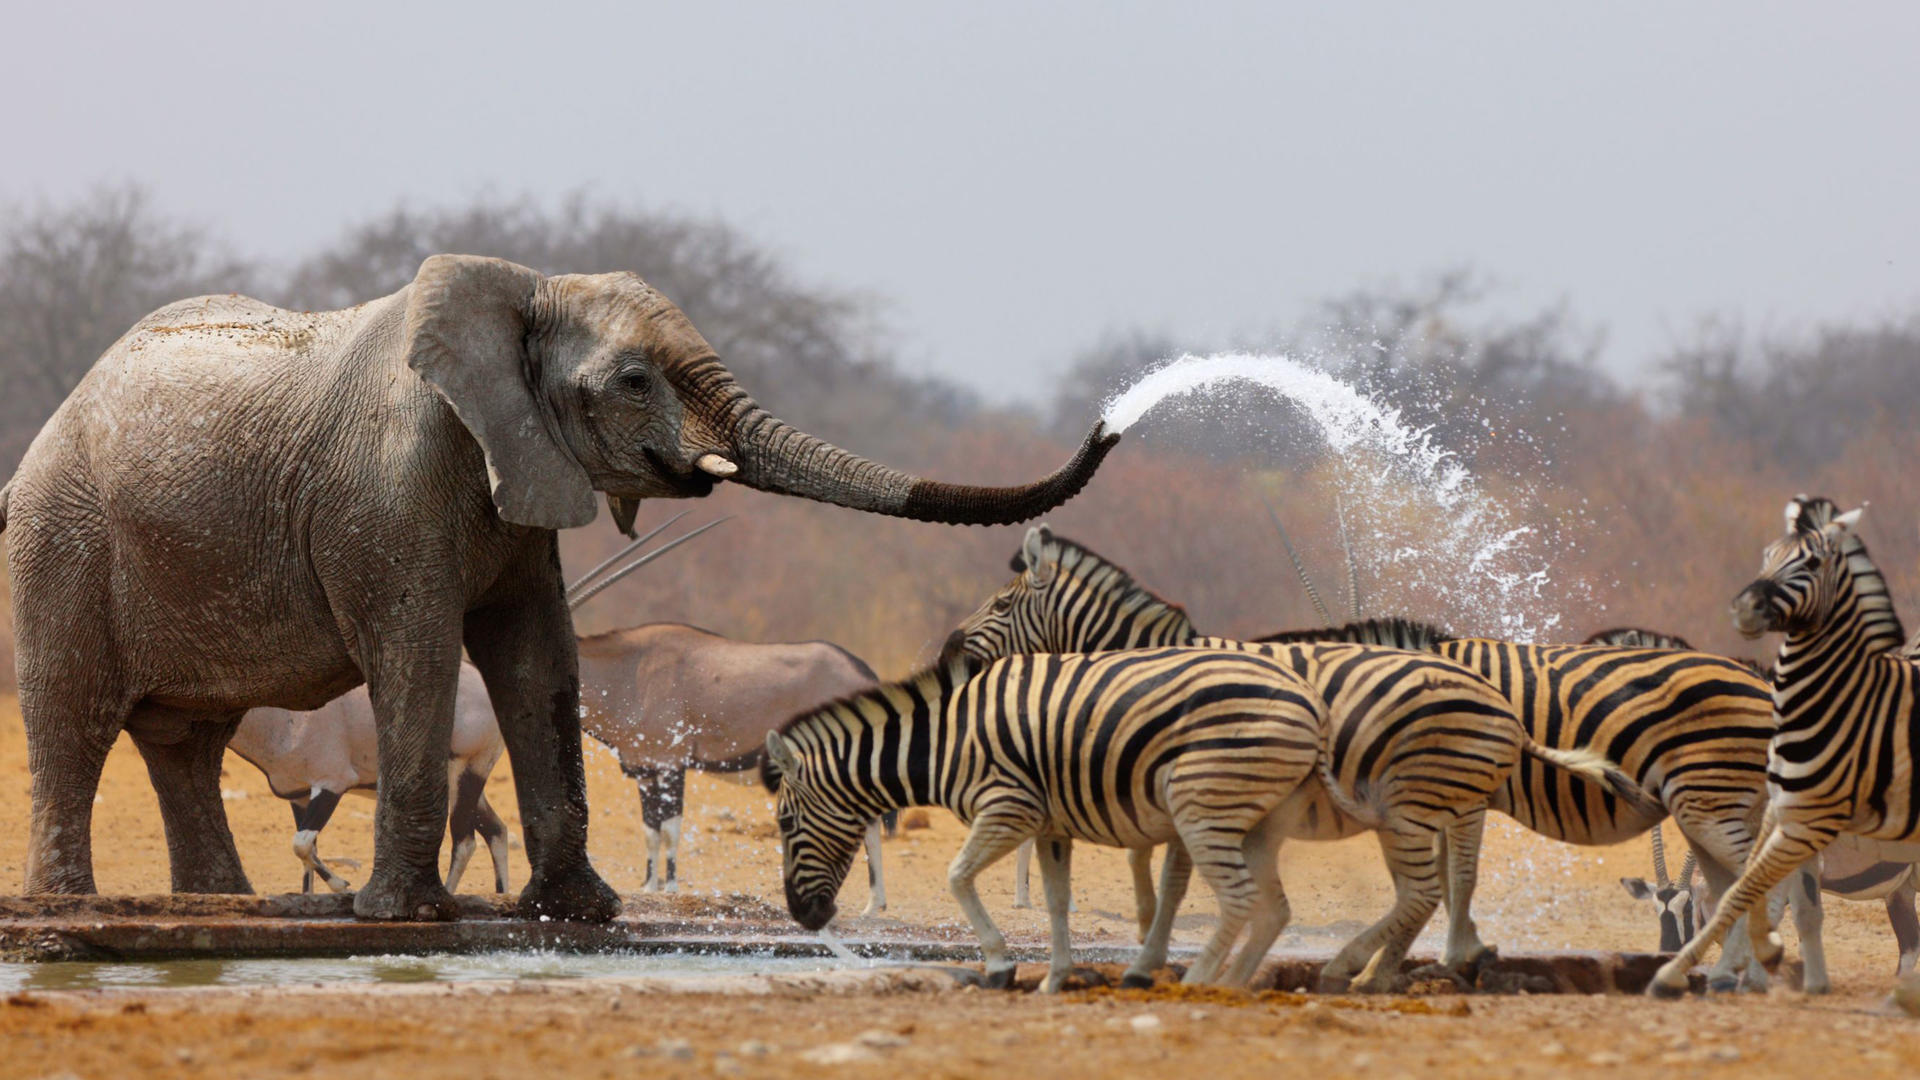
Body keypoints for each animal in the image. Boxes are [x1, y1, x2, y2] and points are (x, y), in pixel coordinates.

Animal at [0, 251, 1113, 914]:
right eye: (634, 381)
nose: (1109, 424)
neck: (521, 292)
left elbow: (538, 661)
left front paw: (582, 911)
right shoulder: (388, 492)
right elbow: (419, 655)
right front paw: (406, 918)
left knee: (186, 741)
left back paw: (222, 908)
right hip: (63, 540)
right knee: (76, 717)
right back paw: (69, 913)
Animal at [756, 638, 1328, 983]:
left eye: (785, 823)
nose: (804, 917)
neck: (944, 742)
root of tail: (1307, 697)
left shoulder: (1009, 807)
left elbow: (957, 876)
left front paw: (1000, 962)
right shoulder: (1052, 824)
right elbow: (1055, 902)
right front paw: (1055, 975)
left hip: (1204, 806)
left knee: (1240, 898)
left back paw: (1198, 981)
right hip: (1247, 815)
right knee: (1265, 905)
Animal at [960, 526, 1781, 991]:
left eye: (1000, 607)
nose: (952, 655)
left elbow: (1173, 879)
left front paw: (1148, 962)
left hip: (1702, 795)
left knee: (1747, 874)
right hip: (1706, 801)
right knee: (1738, 877)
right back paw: (1732, 970)